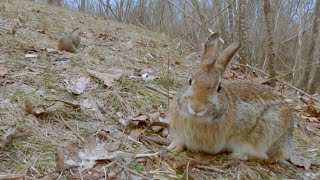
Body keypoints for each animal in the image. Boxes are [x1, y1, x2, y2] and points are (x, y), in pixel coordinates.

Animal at [168, 32, 296, 163]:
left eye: (219, 88)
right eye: (190, 81)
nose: (196, 108)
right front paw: (173, 147)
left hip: (268, 131)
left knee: (264, 156)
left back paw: (236, 156)